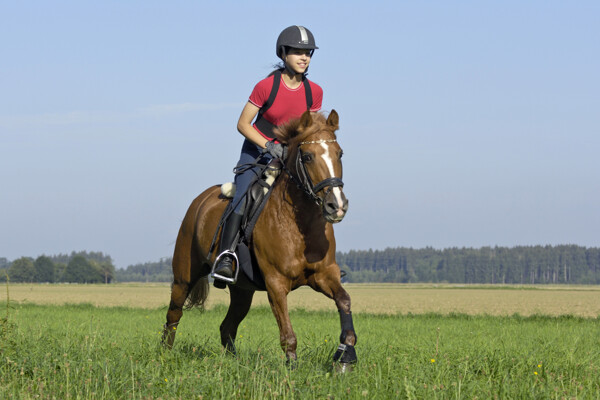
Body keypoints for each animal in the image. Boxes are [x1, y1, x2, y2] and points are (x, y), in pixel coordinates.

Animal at [162, 109, 356, 368]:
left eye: (340, 153)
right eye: (307, 157)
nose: (337, 205)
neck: (301, 226)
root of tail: (200, 200)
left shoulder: (325, 275)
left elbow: (344, 301)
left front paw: (346, 354)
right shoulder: (276, 283)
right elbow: (288, 335)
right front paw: (292, 370)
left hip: (242, 290)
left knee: (227, 327)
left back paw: (234, 364)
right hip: (184, 277)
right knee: (173, 316)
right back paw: (164, 355)